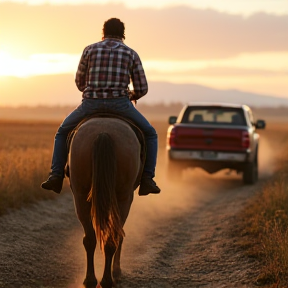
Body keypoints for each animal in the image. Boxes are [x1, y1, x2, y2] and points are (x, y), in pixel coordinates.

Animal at [70, 117, 142, 288]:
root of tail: (103, 133)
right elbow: (120, 235)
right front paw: (117, 271)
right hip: (123, 198)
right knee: (113, 237)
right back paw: (109, 279)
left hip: (80, 196)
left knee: (90, 239)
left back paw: (90, 280)